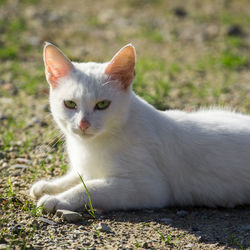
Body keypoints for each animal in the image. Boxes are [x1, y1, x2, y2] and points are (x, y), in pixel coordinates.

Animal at [30, 42, 250, 212]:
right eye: (70, 104)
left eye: (102, 104)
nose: (83, 123)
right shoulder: (87, 168)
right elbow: (77, 177)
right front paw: (49, 186)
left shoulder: (150, 187)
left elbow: (90, 188)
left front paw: (58, 199)